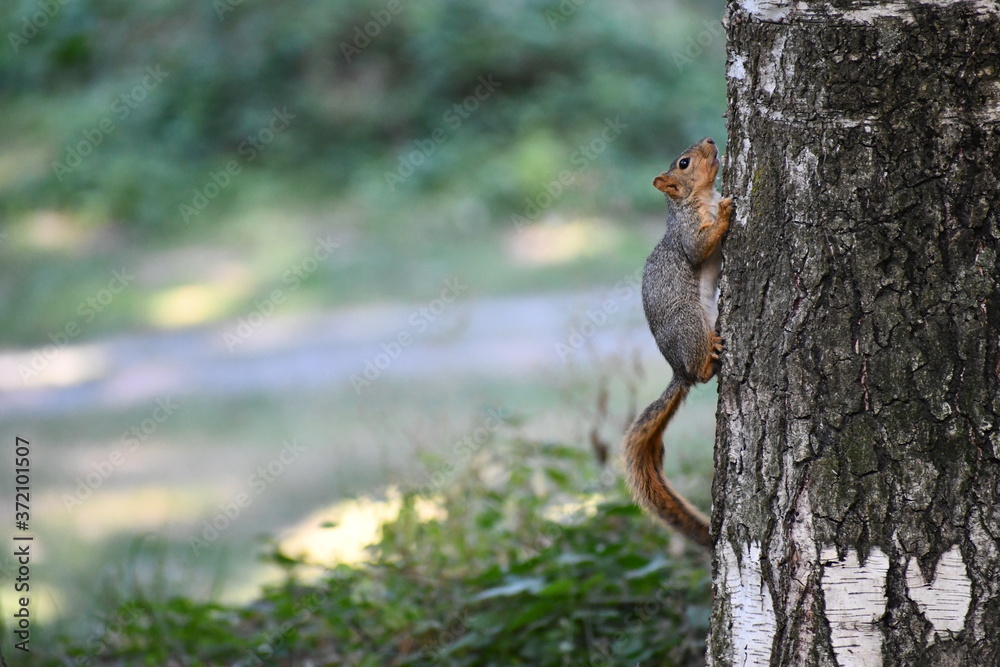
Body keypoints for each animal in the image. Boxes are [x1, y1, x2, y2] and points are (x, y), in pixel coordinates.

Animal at [624, 134, 736, 548]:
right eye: (684, 163)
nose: (711, 139)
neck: (698, 198)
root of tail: (678, 370)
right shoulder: (688, 232)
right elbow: (699, 245)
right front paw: (725, 213)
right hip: (688, 321)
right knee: (699, 373)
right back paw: (710, 358)